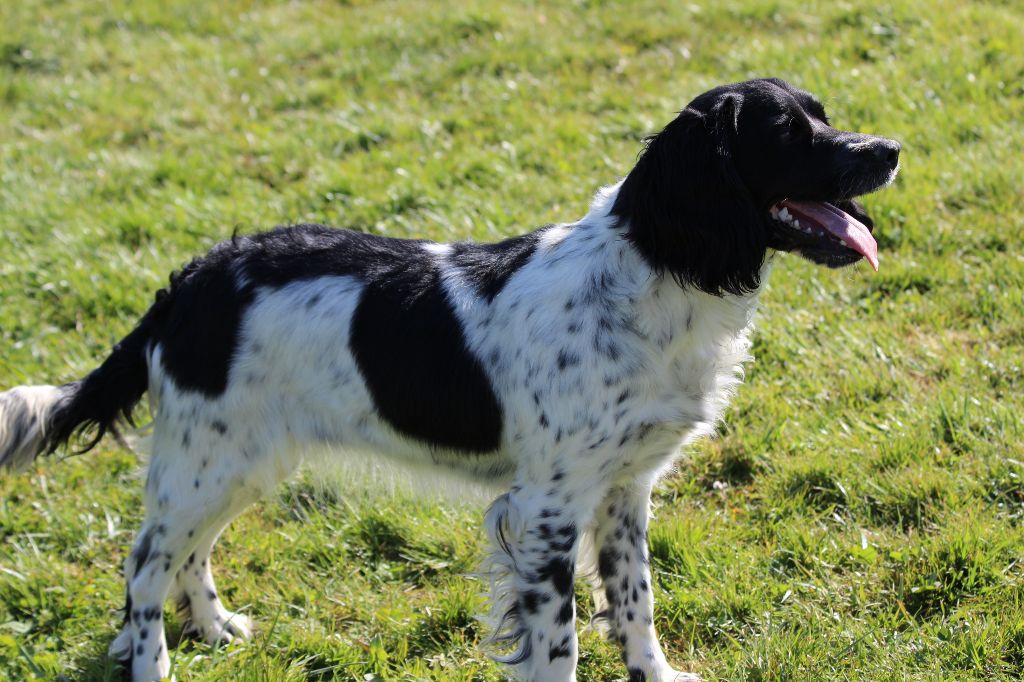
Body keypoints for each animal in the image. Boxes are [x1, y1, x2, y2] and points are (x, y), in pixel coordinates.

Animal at [0, 80, 897, 679]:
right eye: (788, 131)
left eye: (822, 115)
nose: (890, 150)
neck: (655, 275)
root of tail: (188, 281)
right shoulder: (545, 509)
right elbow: (560, 641)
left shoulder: (623, 489)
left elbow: (635, 602)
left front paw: (655, 672)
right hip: (205, 460)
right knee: (145, 563)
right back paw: (154, 658)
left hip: (240, 459)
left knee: (187, 552)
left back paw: (214, 630)